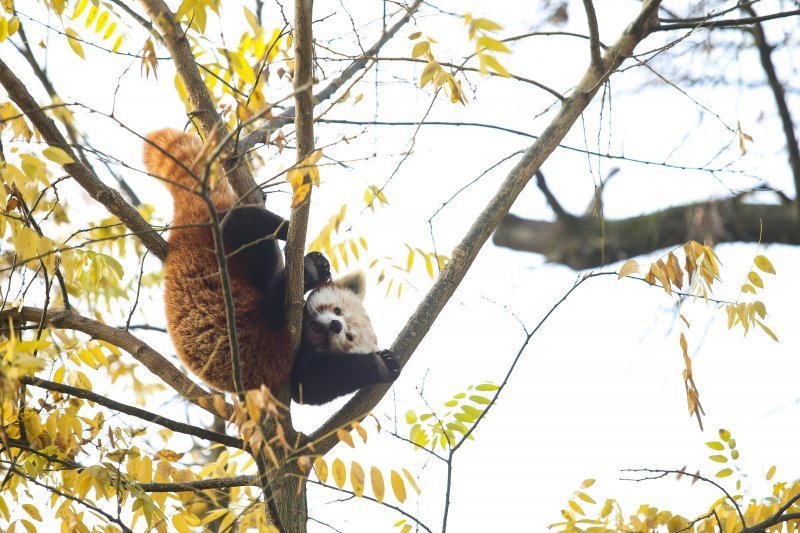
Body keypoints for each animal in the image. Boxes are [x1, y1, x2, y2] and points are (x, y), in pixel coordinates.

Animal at [144, 129, 400, 404]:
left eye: (349, 338)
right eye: (337, 310)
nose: (335, 325)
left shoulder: (299, 367)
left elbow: (312, 385)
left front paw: (384, 366)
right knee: (247, 225)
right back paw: (297, 246)